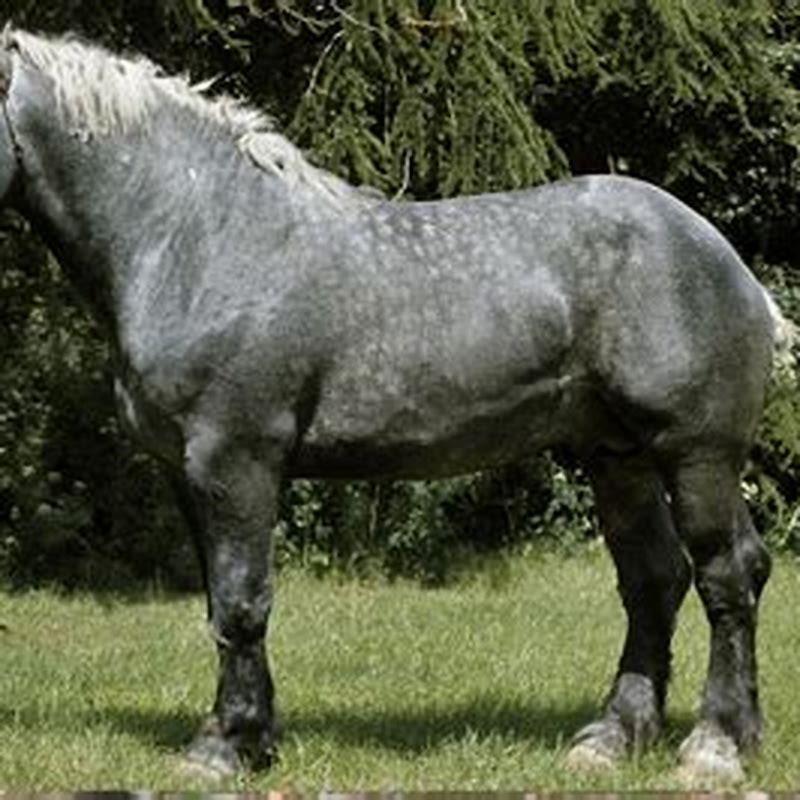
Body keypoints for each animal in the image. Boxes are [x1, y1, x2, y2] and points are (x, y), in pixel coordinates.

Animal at [0, 25, 788, 782]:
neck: (198, 234)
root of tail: (728, 261)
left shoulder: (236, 459)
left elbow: (243, 603)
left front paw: (224, 748)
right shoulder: (185, 471)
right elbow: (220, 605)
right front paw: (254, 738)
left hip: (696, 454)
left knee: (726, 576)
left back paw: (715, 746)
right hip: (615, 456)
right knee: (656, 579)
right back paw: (613, 739)